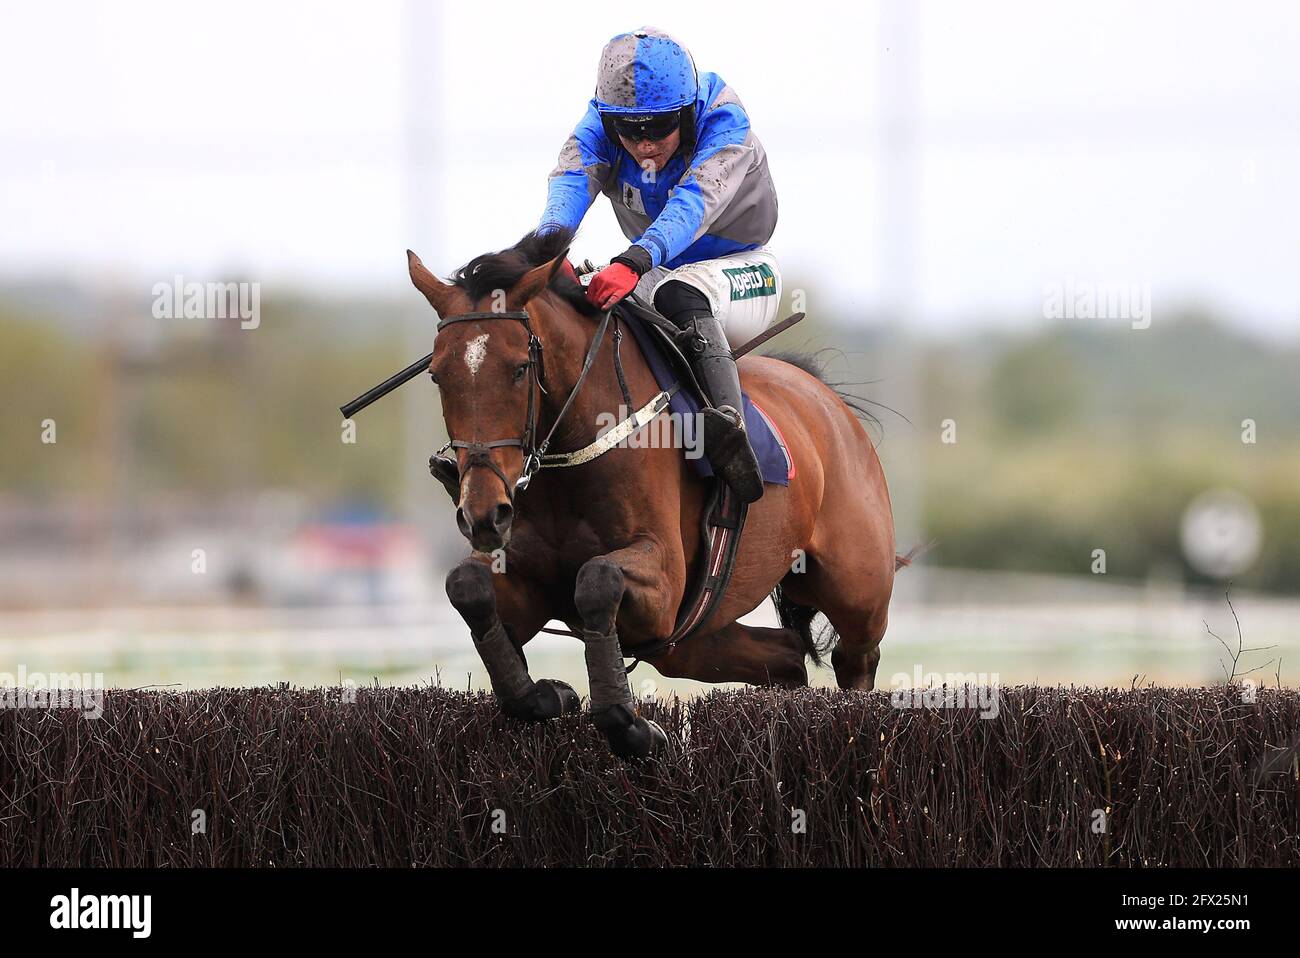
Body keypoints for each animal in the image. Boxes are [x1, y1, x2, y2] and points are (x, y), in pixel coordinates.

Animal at [410, 230, 899, 753]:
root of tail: (825, 398)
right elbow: (466, 584)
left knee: (855, 659)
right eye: (438, 374)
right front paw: (546, 695)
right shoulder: (530, 580)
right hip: (694, 640)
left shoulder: (664, 584)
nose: (483, 514)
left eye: (520, 368)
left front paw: (631, 725)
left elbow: (597, 578)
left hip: (857, 591)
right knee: (785, 654)